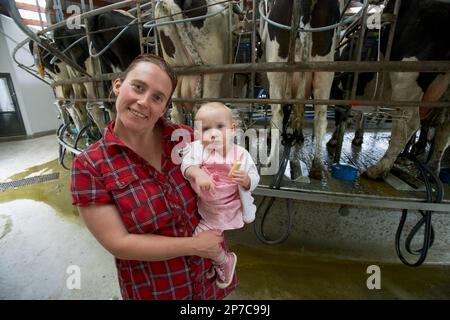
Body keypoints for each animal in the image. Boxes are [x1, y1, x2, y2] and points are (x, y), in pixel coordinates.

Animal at [260, 0, 342, 179]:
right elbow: (300, 110)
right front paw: (298, 135)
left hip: (276, 69)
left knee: (278, 114)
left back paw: (271, 161)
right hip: (324, 70)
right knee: (320, 116)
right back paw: (317, 166)